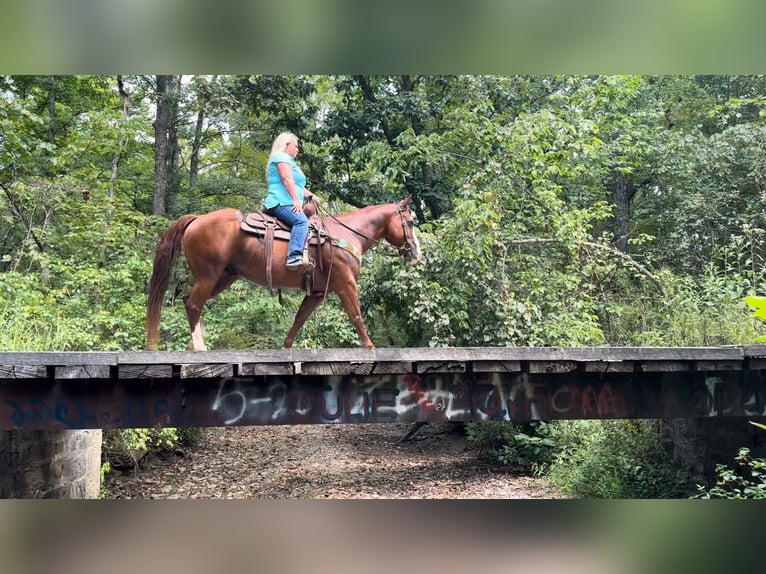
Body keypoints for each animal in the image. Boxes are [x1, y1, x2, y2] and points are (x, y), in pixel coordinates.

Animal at [147, 197, 424, 352]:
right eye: (410, 223)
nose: (416, 253)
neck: (345, 234)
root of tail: (196, 220)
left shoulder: (317, 292)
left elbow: (299, 319)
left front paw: (286, 348)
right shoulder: (346, 284)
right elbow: (356, 315)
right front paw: (370, 346)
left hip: (224, 277)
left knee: (189, 301)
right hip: (209, 275)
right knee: (193, 304)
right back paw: (200, 347)